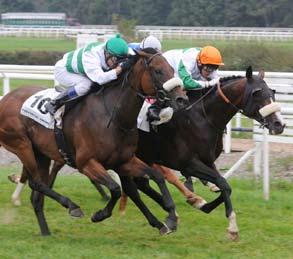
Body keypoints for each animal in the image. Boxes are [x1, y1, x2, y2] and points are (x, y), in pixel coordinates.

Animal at [0, 47, 187, 237]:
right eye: (158, 71)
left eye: (172, 69)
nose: (181, 99)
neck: (114, 117)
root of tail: (6, 98)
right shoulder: (86, 163)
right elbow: (115, 189)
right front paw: (100, 215)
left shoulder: (124, 161)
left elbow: (156, 177)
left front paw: (170, 216)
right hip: (21, 145)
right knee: (35, 182)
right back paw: (72, 206)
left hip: (41, 153)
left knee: (37, 195)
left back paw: (46, 231)